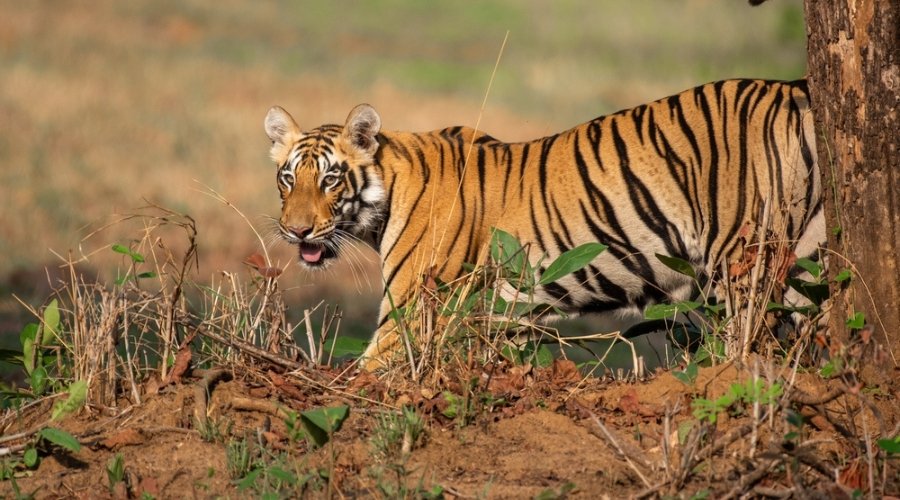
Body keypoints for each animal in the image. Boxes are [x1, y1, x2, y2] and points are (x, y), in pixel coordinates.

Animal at [263, 79, 823, 371]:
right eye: (288, 179)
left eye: (330, 179)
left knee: (754, 343)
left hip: (744, 260)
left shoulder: (411, 309)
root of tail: (792, 87)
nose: (296, 232)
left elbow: (362, 378)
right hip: (806, 261)